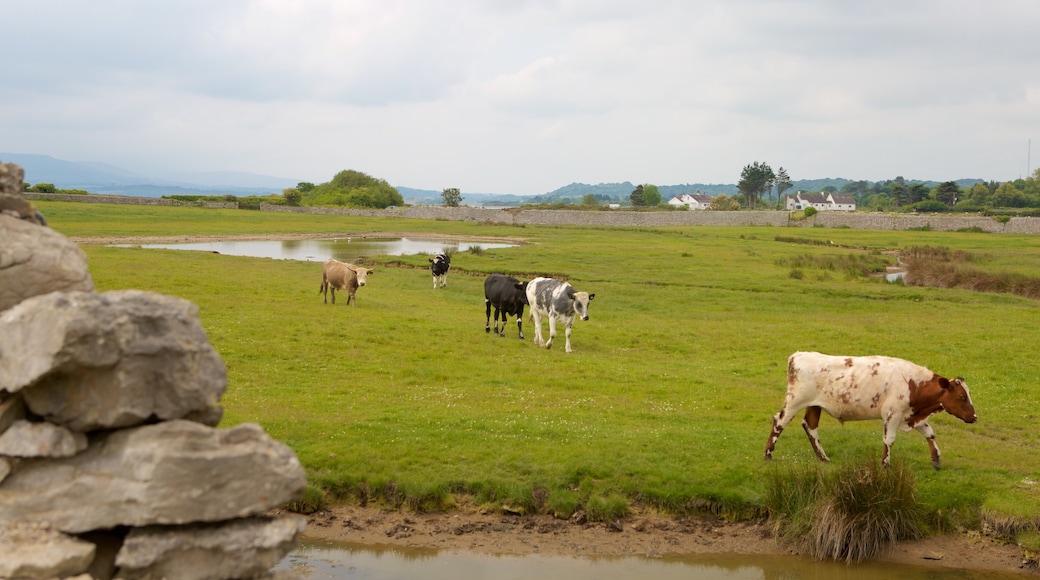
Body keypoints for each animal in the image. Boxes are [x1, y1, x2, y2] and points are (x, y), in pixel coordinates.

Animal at [765, 353, 973, 469]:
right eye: (962, 397)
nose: (974, 417)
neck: (912, 383)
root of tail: (798, 355)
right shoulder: (892, 414)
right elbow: (889, 440)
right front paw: (885, 463)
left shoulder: (910, 415)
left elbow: (930, 433)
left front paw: (936, 458)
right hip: (795, 401)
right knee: (779, 422)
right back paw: (768, 454)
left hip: (815, 405)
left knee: (810, 426)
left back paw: (823, 458)